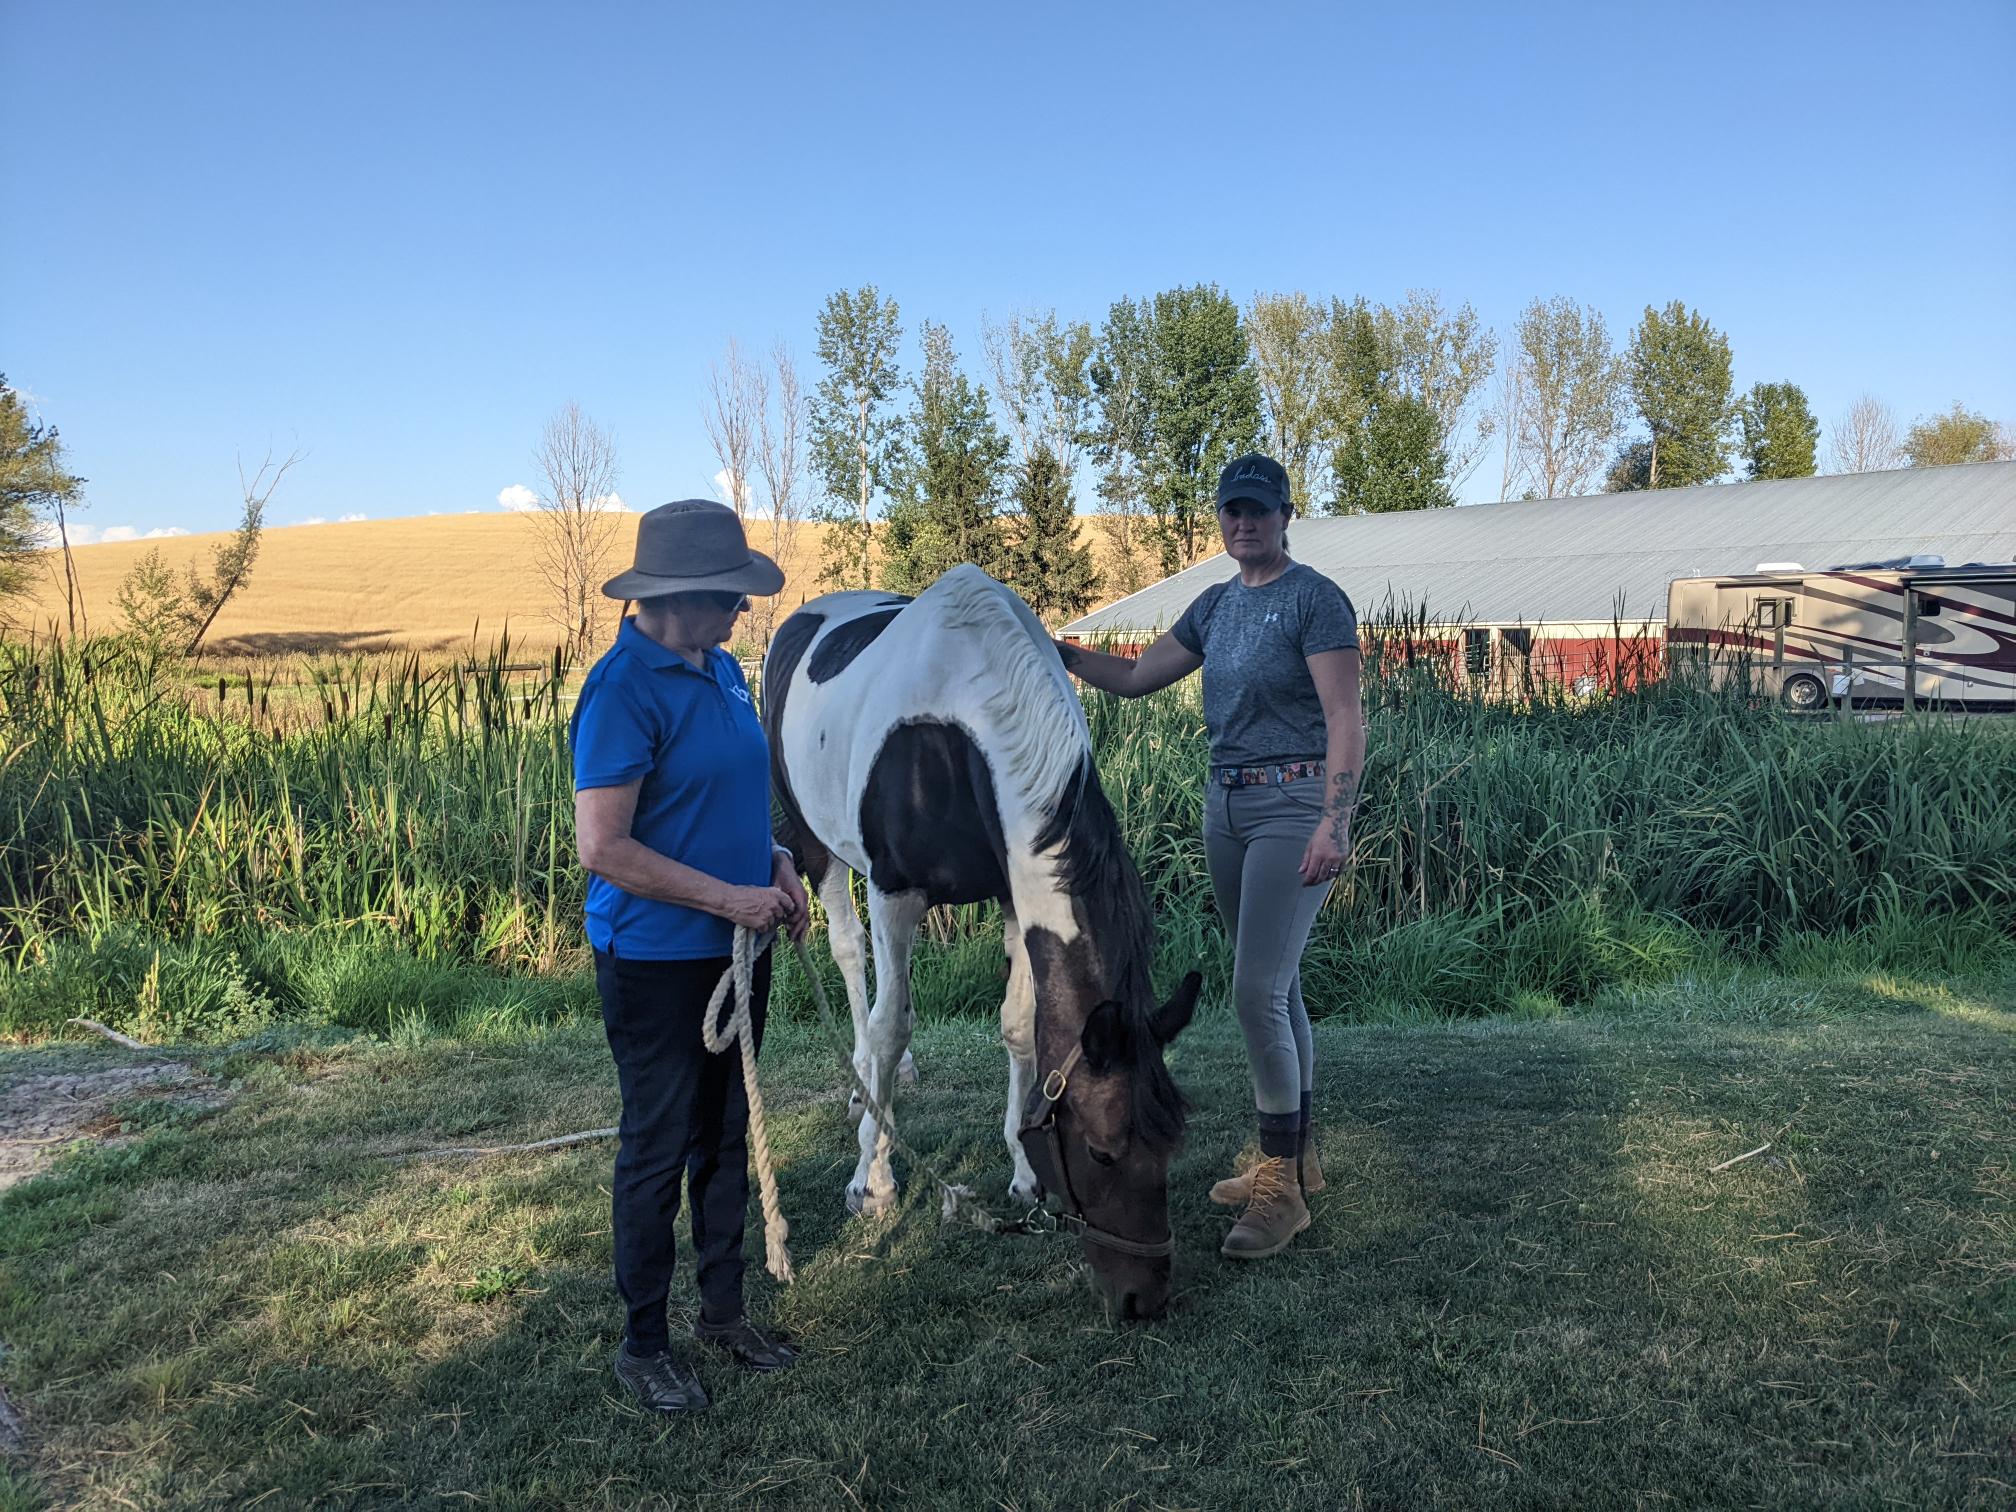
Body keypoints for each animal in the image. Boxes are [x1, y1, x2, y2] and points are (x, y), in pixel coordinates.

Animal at [758, 564, 1193, 1314]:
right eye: (1102, 1151)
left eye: (1169, 1144)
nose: (1144, 1301)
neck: (960, 726)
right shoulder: (896, 892)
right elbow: (893, 1024)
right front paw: (872, 1183)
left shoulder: (1016, 887)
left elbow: (1020, 1025)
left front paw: (1022, 1170)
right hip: (819, 847)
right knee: (849, 960)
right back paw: (864, 1090)